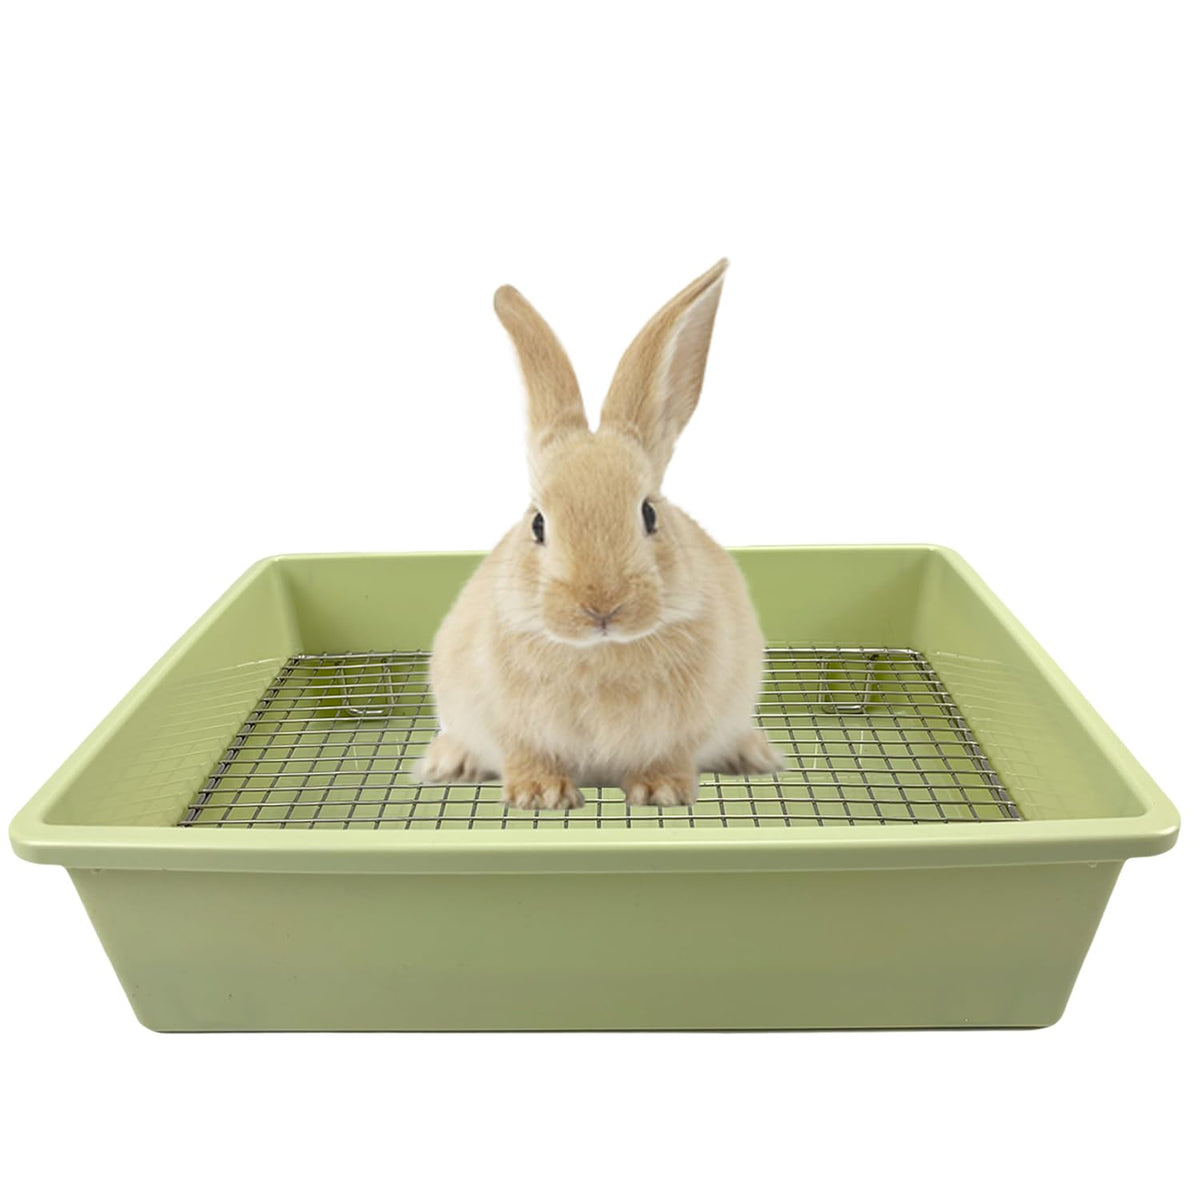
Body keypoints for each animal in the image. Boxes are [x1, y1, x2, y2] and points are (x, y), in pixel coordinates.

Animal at [415, 259, 783, 809]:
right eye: (538, 523)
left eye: (649, 514)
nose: (601, 606)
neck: (599, 652)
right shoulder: (510, 726)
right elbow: (525, 754)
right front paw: (540, 796)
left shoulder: (683, 730)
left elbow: (669, 756)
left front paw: (662, 792)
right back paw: (448, 762)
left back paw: (754, 754)